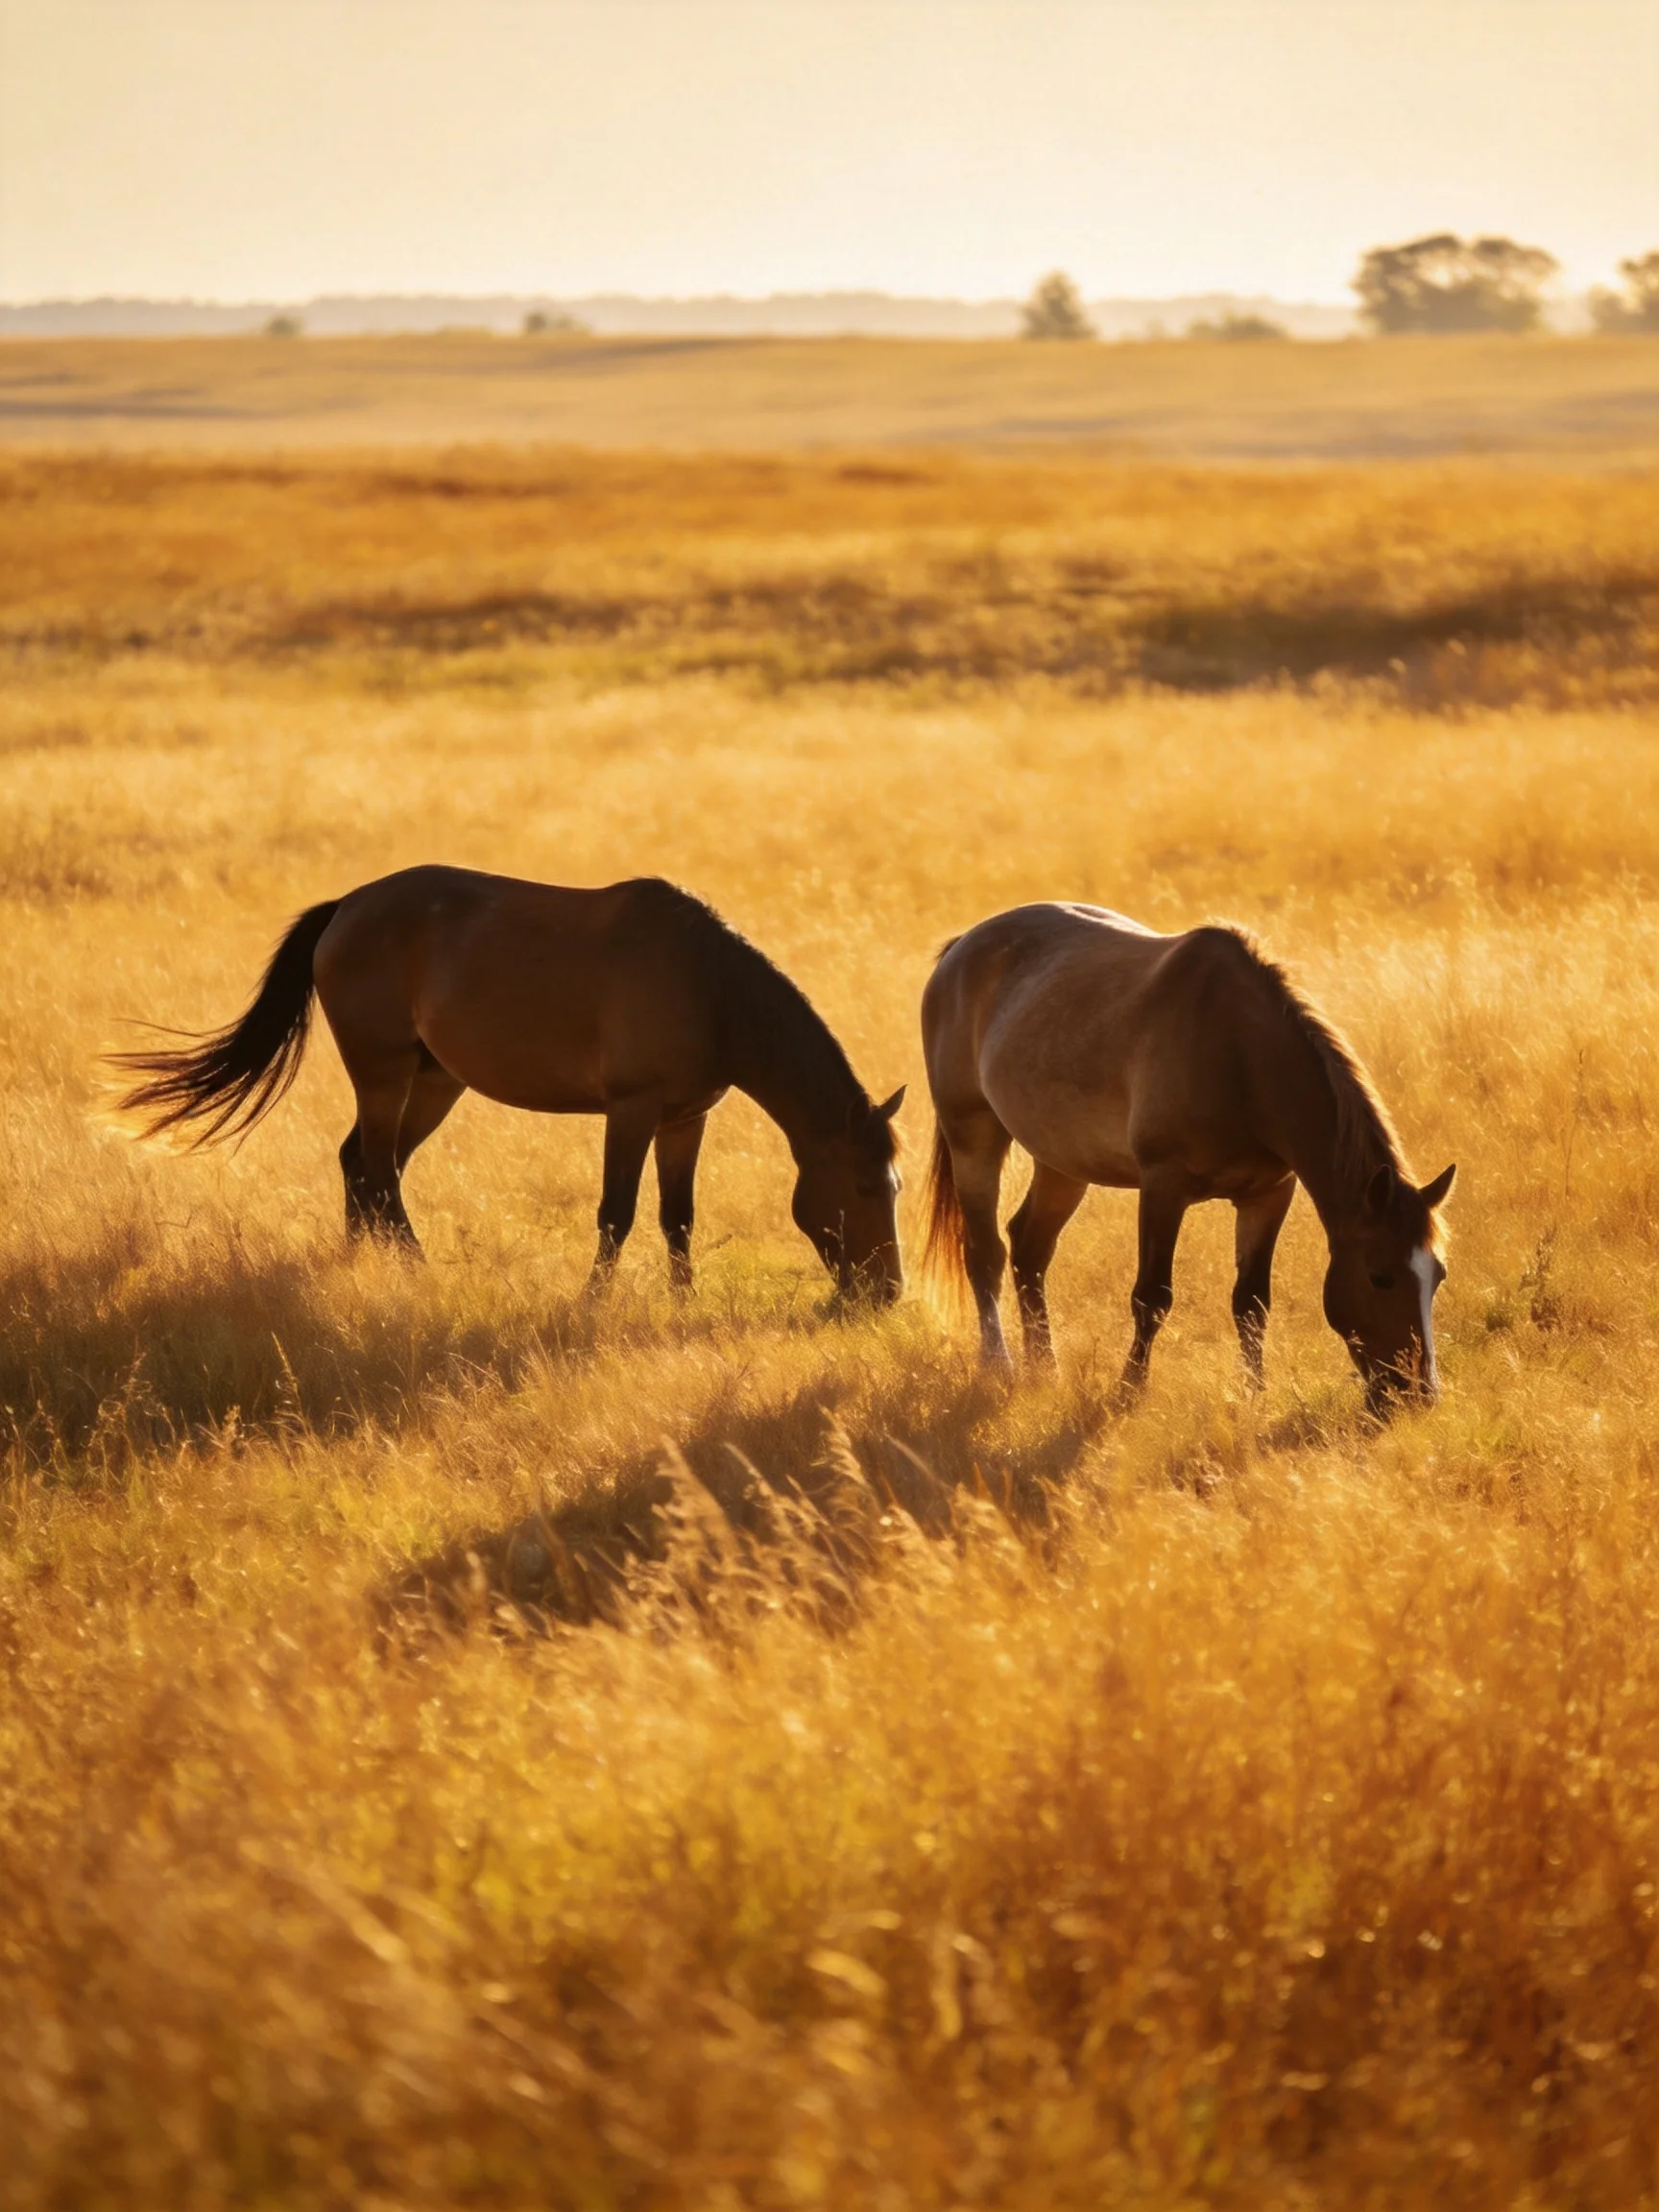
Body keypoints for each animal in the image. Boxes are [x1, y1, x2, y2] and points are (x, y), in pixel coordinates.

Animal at [110, 868, 906, 1300]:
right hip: (383, 1071)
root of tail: (346, 909)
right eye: (867, 1188)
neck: (710, 989)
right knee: (376, 1169)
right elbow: (616, 1213)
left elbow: (677, 1217)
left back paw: (366, 1263)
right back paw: (413, 1271)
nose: (889, 1293)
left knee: (367, 1164)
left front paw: (683, 1303)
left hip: (434, 1082)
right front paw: (591, 1304)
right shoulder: (632, 1110)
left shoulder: (686, 1118)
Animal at [921, 904, 1455, 1413]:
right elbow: (1152, 1296)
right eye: (1380, 1276)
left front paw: (1254, 1395)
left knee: (1030, 1247)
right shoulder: (1164, 1186)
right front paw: (1129, 1391)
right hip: (973, 1137)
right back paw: (1000, 1365)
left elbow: (1252, 1301)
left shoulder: (1269, 1194)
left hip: (1061, 1163)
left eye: (1438, 1276)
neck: (1238, 1056)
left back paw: (1044, 1369)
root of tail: (958, 950)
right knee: (986, 1253)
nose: (1418, 1394)